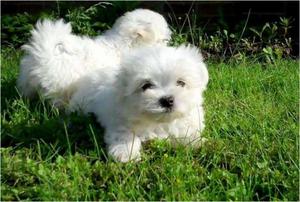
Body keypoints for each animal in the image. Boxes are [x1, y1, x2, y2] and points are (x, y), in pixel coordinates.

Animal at [18, 8, 171, 105]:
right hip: (61, 85)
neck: (124, 44)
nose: (168, 45)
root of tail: (44, 56)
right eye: (162, 40)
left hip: (28, 82)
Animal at [68, 45, 209, 162]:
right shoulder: (120, 120)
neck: (159, 122)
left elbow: (186, 131)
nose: (167, 100)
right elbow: (125, 135)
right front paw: (125, 153)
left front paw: (197, 142)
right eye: (146, 85)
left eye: (181, 82)